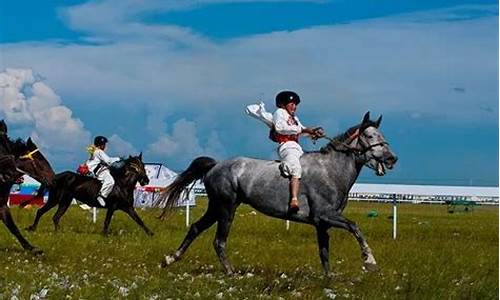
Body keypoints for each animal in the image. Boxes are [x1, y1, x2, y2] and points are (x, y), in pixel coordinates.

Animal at [158, 111, 396, 276]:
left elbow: (324, 252)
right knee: (219, 241)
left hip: (217, 207)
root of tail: (216, 165)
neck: (331, 170)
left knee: (195, 228)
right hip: (226, 209)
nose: (392, 158)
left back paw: (170, 259)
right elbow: (355, 227)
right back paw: (230, 272)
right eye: (369, 135)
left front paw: (329, 279)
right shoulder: (326, 215)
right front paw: (370, 261)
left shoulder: (322, 224)